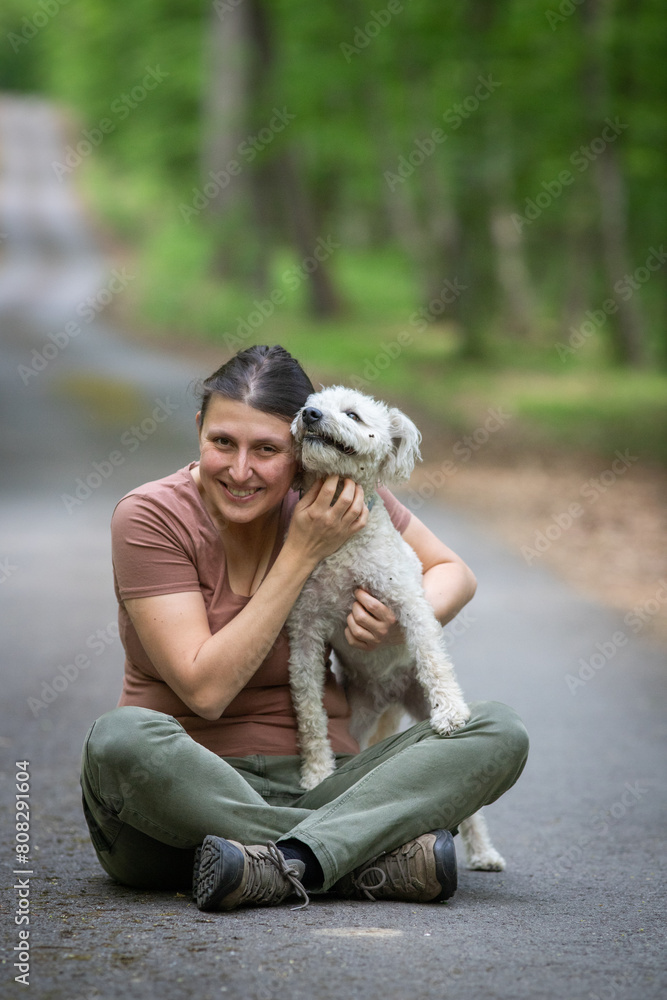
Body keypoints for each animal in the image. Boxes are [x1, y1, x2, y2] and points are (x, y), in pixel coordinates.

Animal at [288, 386, 506, 872]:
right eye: (311, 401)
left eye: (352, 414)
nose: (309, 414)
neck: (344, 543)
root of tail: (389, 694)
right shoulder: (304, 632)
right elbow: (310, 712)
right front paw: (317, 772)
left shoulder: (408, 603)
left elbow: (432, 656)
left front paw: (451, 711)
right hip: (361, 717)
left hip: (415, 697)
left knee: (472, 807)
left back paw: (483, 851)